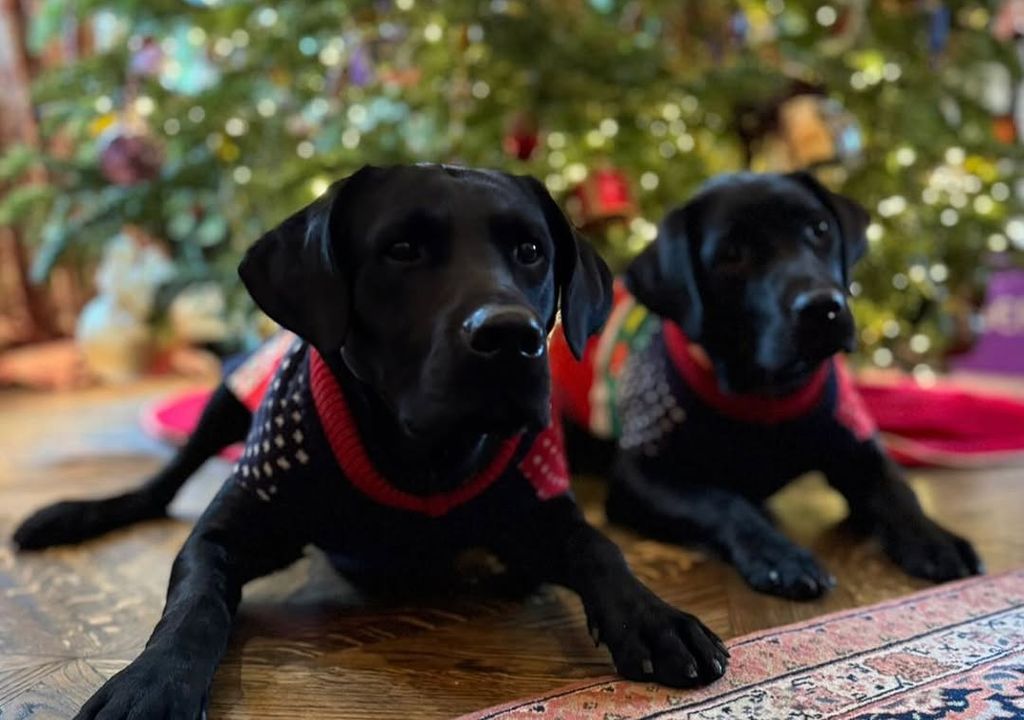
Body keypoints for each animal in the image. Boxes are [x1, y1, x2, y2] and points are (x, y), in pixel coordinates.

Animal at [12, 165, 724, 716]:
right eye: (402, 249)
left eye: (530, 251)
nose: (510, 336)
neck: (425, 459)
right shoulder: (226, 531)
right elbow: (195, 605)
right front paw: (152, 681)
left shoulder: (541, 506)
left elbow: (599, 546)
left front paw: (654, 617)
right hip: (228, 398)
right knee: (162, 485)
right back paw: (71, 515)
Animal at [561, 173, 983, 602]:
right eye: (732, 253)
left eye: (820, 229)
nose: (822, 307)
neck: (765, 395)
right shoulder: (641, 475)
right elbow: (721, 502)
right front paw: (780, 555)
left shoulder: (858, 448)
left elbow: (898, 492)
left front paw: (937, 540)